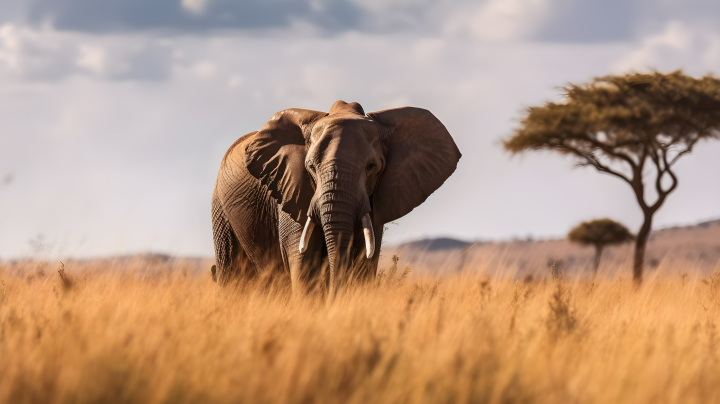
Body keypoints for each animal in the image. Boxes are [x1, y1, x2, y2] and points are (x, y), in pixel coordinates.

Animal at [211, 101, 464, 296]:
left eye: (372, 167)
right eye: (310, 167)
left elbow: (364, 261)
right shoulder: (291, 190)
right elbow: (304, 263)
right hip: (221, 210)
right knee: (231, 269)